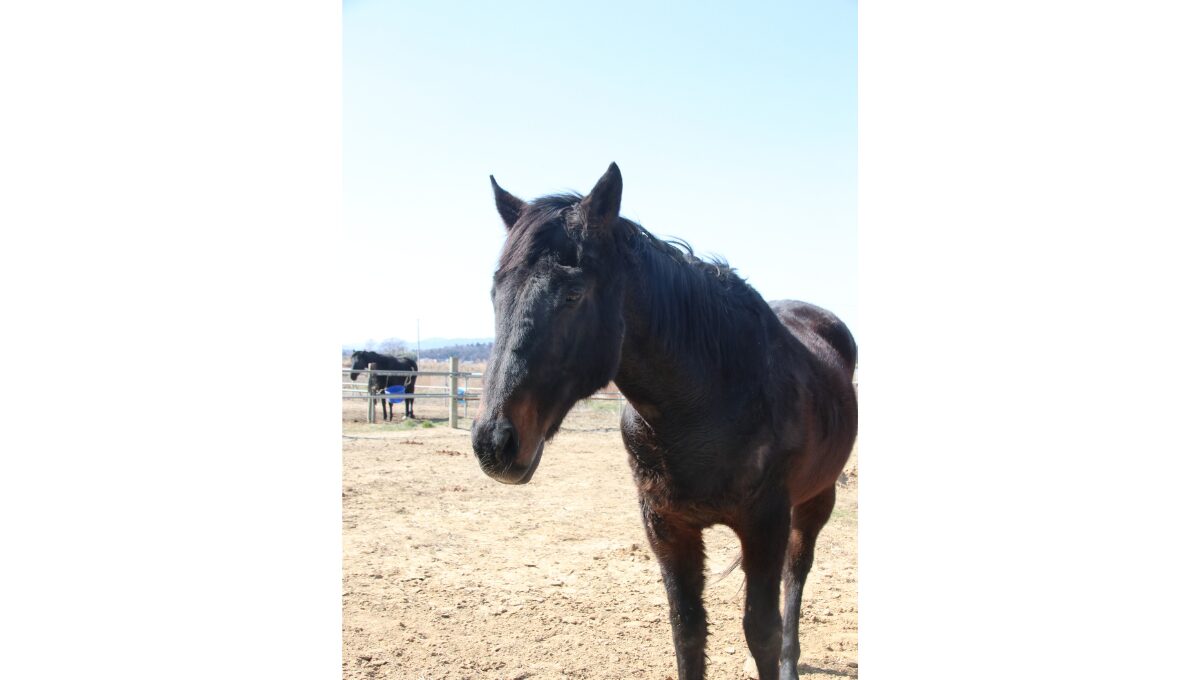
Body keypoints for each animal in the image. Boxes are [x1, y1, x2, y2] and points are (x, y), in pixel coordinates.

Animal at [470, 164, 857, 680]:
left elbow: (762, 631)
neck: (708, 400)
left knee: (797, 573)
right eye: (497, 293)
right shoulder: (665, 526)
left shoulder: (765, 522)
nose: (494, 442)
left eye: (573, 293)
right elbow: (687, 631)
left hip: (818, 496)